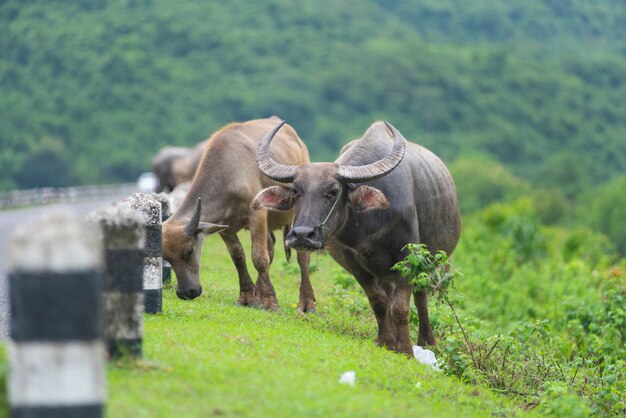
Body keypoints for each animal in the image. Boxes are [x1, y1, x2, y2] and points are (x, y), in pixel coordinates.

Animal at [162, 116, 316, 312]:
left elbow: (258, 256)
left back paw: (307, 304)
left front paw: (270, 302)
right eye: (166, 257)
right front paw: (248, 298)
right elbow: (238, 257)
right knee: (271, 247)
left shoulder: (257, 214)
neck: (229, 173)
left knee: (302, 256)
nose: (186, 292)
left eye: (189, 251)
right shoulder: (225, 228)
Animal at [251, 121, 460, 356]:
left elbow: (400, 307)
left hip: (426, 263)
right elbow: (378, 301)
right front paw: (386, 341)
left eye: (333, 191)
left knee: (420, 296)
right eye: (296, 190)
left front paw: (406, 350)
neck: (371, 223)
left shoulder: (408, 257)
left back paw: (428, 342)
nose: (303, 235)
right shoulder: (354, 262)